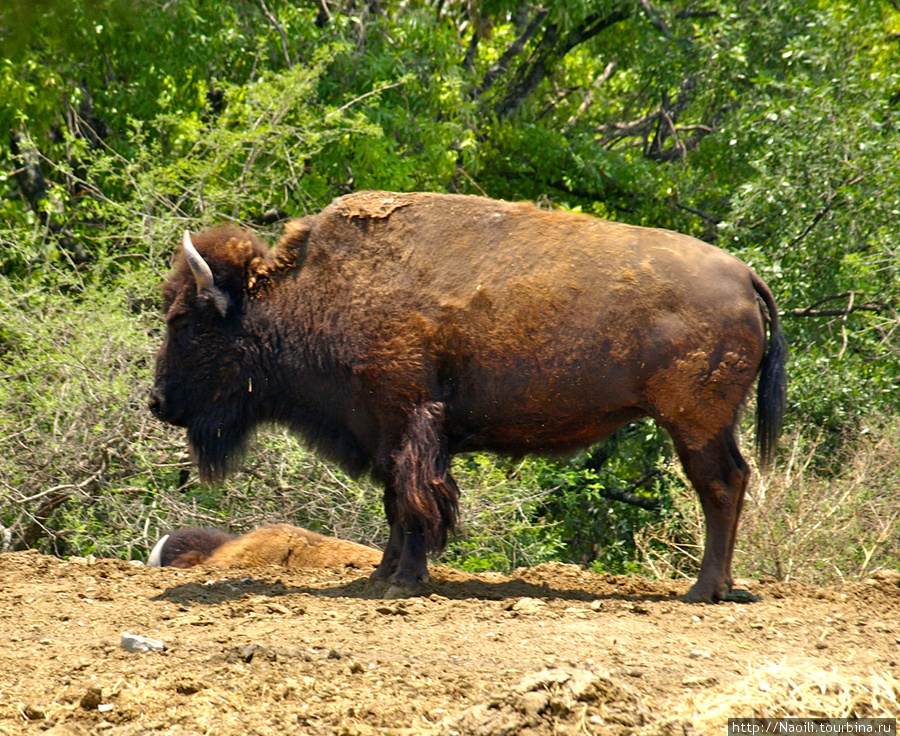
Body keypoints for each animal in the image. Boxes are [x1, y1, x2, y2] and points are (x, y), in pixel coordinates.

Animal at [151, 190, 784, 604]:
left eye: (185, 323)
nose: (158, 403)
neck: (312, 294)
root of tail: (745, 275)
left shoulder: (407, 421)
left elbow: (413, 503)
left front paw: (406, 581)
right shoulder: (387, 433)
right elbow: (394, 503)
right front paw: (383, 575)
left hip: (693, 423)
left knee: (720, 487)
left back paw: (703, 590)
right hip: (709, 424)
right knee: (734, 481)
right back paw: (721, 587)